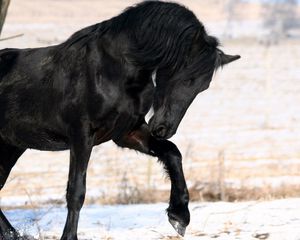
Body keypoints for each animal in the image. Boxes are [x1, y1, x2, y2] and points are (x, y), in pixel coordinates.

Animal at [0, 0, 239, 239]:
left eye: (203, 86)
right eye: (187, 77)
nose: (164, 128)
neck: (112, 70)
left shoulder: (127, 132)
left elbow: (172, 153)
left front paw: (179, 216)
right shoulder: (81, 135)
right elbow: (76, 191)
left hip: (11, 147)